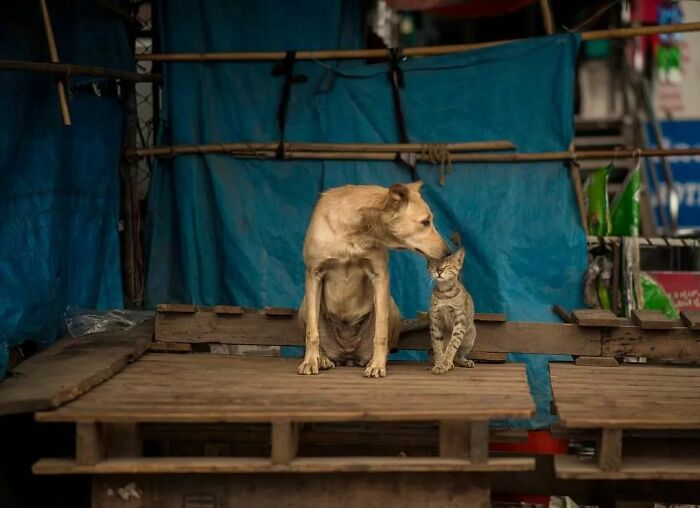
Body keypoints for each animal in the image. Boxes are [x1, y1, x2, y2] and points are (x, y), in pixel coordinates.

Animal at [296, 182, 448, 378]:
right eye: (425, 222)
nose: (448, 252)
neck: (354, 232)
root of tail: (347, 355)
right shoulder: (314, 274)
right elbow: (312, 332)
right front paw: (310, 361)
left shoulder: (380, 276)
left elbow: (380, 332)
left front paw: (377, 365)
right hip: (305, 304)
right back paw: (322, 359)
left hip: (392, 306)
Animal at [426, 248, 476, 376]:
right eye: (435, 265)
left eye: (446, 266)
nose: (439, 271)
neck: (444, 293)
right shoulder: (435, 322)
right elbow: (437, 347)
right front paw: (439, 364)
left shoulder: (459, 321)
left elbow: (452, 345)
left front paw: (445, 363)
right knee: (431, 353)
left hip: (470, 336)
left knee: (458, 354)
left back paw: (462, 362)